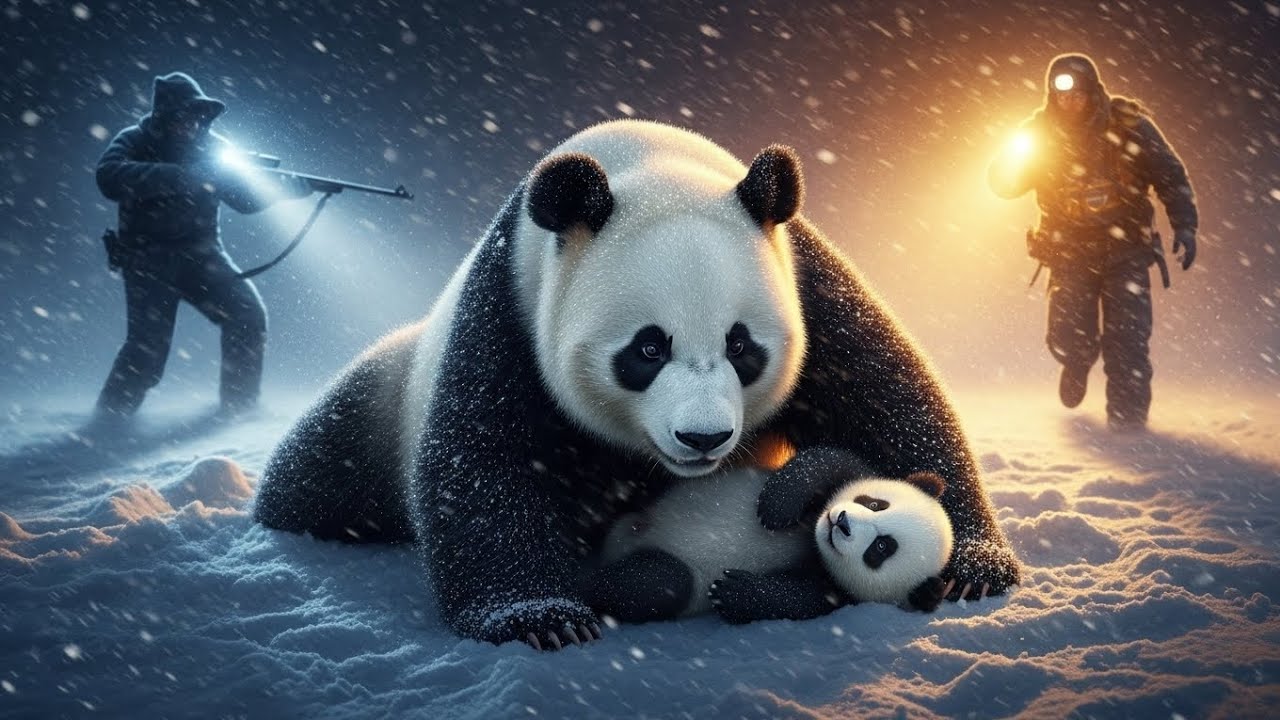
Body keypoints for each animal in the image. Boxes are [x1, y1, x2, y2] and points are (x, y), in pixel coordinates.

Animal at [589, 443, 953, 623]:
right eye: (875, 503)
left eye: (880, 548)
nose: (842, 522)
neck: (812, 537)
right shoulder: (850, 475)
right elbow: (827, 461)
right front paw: (775, 507)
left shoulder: (835, 593)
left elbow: (795, 599)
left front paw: (733, 591)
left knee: (660, 583)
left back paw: (588, 581)